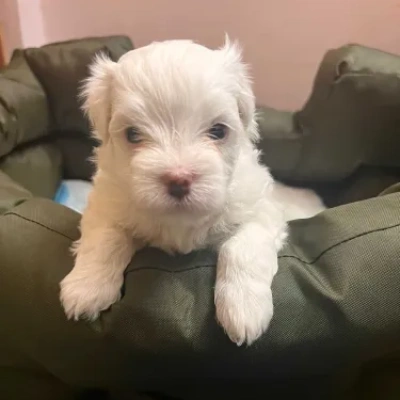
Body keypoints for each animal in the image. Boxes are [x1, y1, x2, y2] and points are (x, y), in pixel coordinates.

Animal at [60, 38, 324, 346]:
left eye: (218, 131)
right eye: (133, 134)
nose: (178, 180)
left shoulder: (261, 211)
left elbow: (241, 247)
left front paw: (243, 309)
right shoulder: (106, 204)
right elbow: (105, 239)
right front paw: (86, 289)